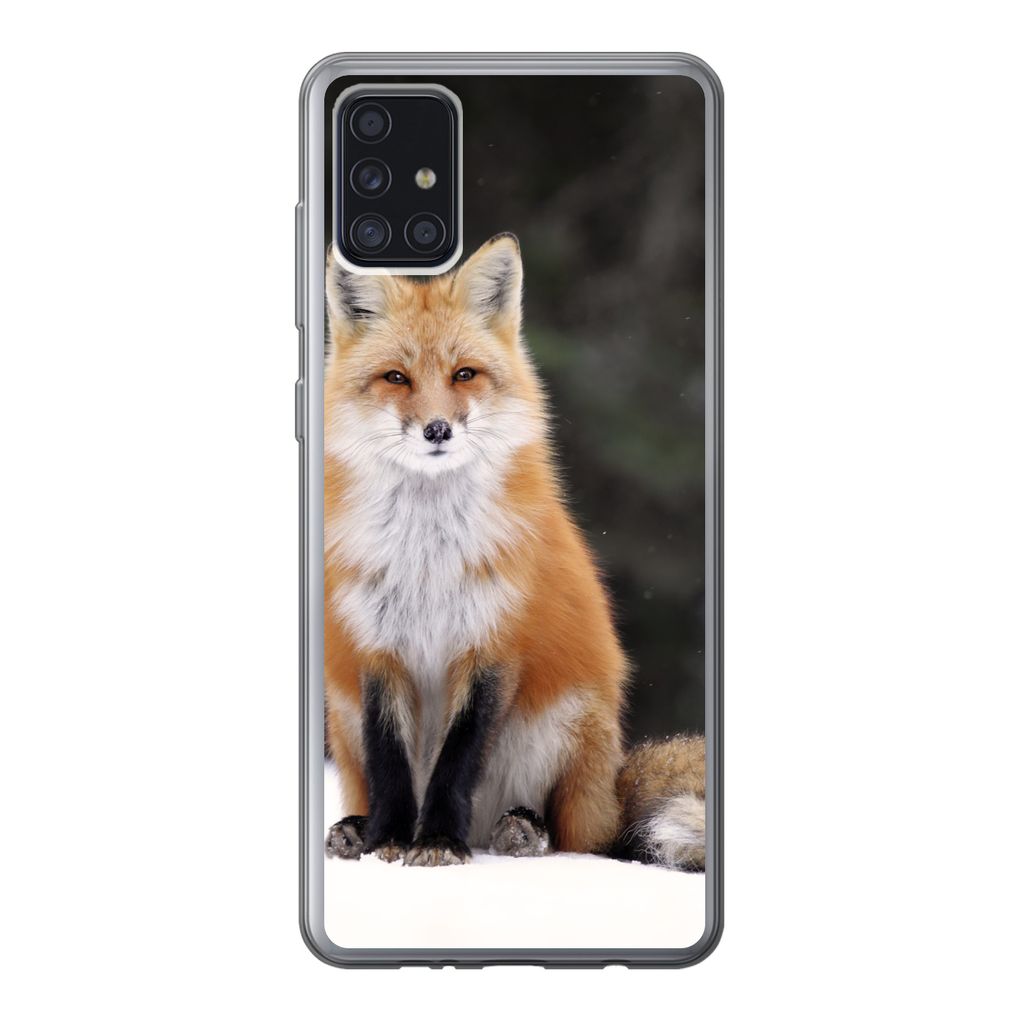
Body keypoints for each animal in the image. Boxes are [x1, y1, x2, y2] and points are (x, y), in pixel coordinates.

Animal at [322, 233, 705, 870]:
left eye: (464, 374)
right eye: (396, 377)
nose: (437, 430)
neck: (428, 559)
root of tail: (610, 788)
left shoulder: (493, 644)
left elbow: (457, 760)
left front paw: (437, 841)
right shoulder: (377, 648)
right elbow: (390, 762)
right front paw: (389, 840)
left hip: (564, 724)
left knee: (580, 838)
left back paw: (523, 831)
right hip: (342, 711)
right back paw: (354, 829)